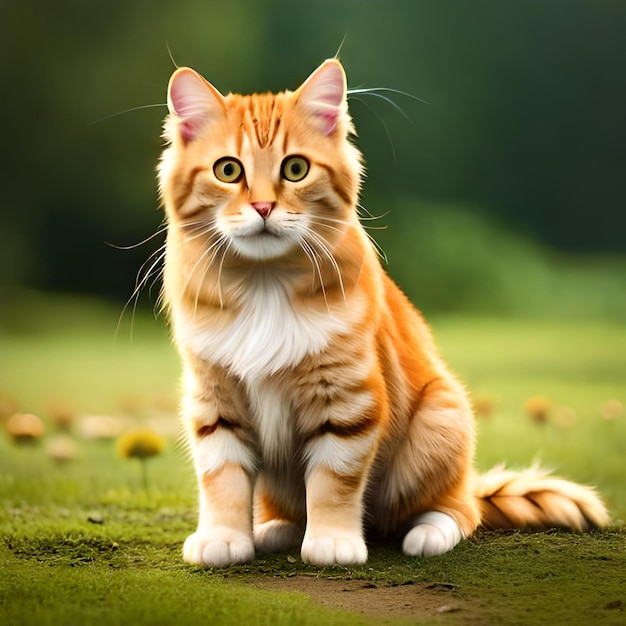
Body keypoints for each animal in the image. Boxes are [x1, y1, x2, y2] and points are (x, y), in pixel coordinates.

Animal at [157, 59, 608, 564]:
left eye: (295, 169)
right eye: (228, 170)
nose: (263, 206)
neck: (264, 281)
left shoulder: (349, 401)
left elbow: (333, 482)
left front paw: (332, 541)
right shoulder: (214, 399)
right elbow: (222, 478)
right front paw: (224, 538)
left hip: (441, 418)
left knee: (458, 509)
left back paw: (429, 533)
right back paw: (276, 530)